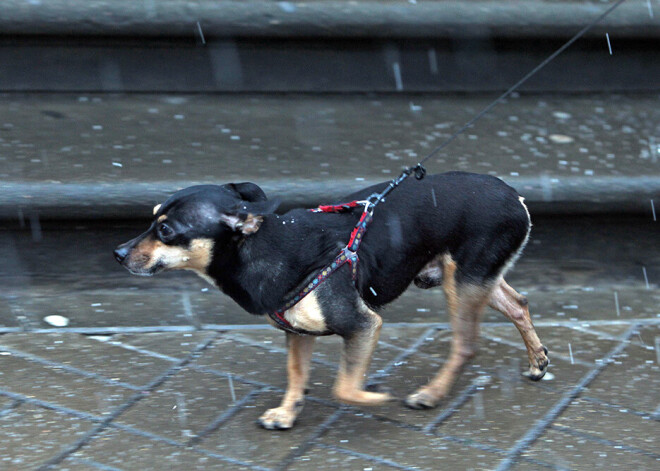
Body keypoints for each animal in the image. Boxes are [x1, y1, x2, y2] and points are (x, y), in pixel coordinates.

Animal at [113, 172, 548, 432]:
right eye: (151, 218)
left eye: (166, 231)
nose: (117, 252)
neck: (265, 247)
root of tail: (516, 196)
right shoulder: (298, 332)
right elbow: (296, 374)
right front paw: (288, 412)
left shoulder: (362, 325)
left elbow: (344, 386)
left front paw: (374, 397)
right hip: (472, 278)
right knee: (518, 303)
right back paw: (537, 361)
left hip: (465, 283)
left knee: (466, 344)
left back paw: (431, 393)